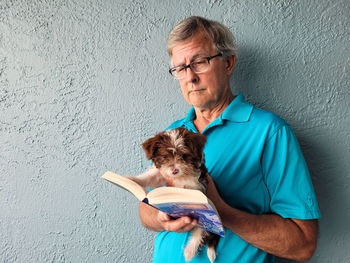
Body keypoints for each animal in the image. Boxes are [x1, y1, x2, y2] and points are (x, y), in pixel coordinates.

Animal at [129, 127, 220, 262]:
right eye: (164, 156)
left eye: (184, 155)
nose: (174, 170)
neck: (180, 177)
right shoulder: (161, 174)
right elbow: (149, 178)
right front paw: (132, 180)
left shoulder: (197, 184)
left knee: (201, 231)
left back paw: (189, 250)